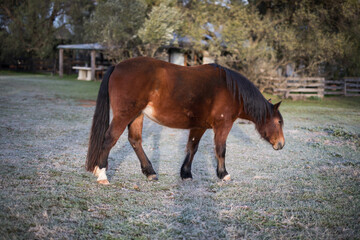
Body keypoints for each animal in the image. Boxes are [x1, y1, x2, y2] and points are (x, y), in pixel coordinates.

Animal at [85, 57, 284, 185]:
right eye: (278, 122)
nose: (281, 144)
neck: (230, 90)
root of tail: (117, 66)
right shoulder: (223, 126)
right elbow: (221, 150)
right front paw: (223, 174)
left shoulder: (199, 126)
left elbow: (192, 148)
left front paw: (186, 173)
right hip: (125, 114)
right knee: (109, 139)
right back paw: (102, 174)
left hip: (137, 115)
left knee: (135, 141)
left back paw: (150, 173)